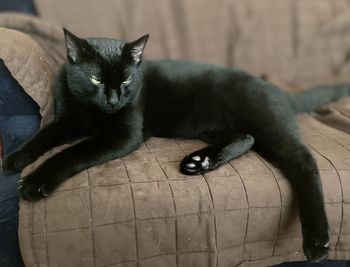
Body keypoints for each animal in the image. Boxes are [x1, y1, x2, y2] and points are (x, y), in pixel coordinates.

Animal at [2, 28, 350, 262]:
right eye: (96, 80)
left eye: (127, 80)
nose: (114, 100)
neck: (92, 113)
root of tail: (274, 87)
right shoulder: (66, 121)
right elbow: (43, 137)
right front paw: (14, 159)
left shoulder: (123, 136)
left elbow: (73, 152)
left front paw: (36, 181)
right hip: (216, 128)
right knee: (246, 138)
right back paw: (200, 162)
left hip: (267, 124)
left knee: (303, 159)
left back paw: (317, 241)